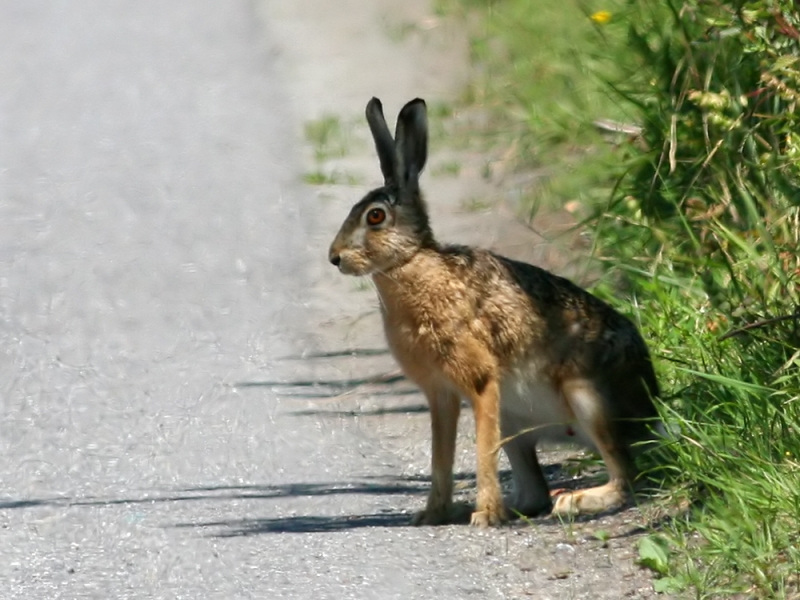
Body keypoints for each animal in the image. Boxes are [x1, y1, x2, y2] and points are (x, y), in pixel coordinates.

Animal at [328, 97, 661, 527]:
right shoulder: (441, 394)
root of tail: (653, 414)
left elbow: (481, 448)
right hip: (516, 419)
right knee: (536, 490)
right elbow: (440, 456)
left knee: (625, 477)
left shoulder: (481, 381)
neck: (413, 263)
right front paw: (433, 514)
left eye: (375, 216)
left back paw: (575, 501)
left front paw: (484, 516)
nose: (335, 258)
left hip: (588, 396)